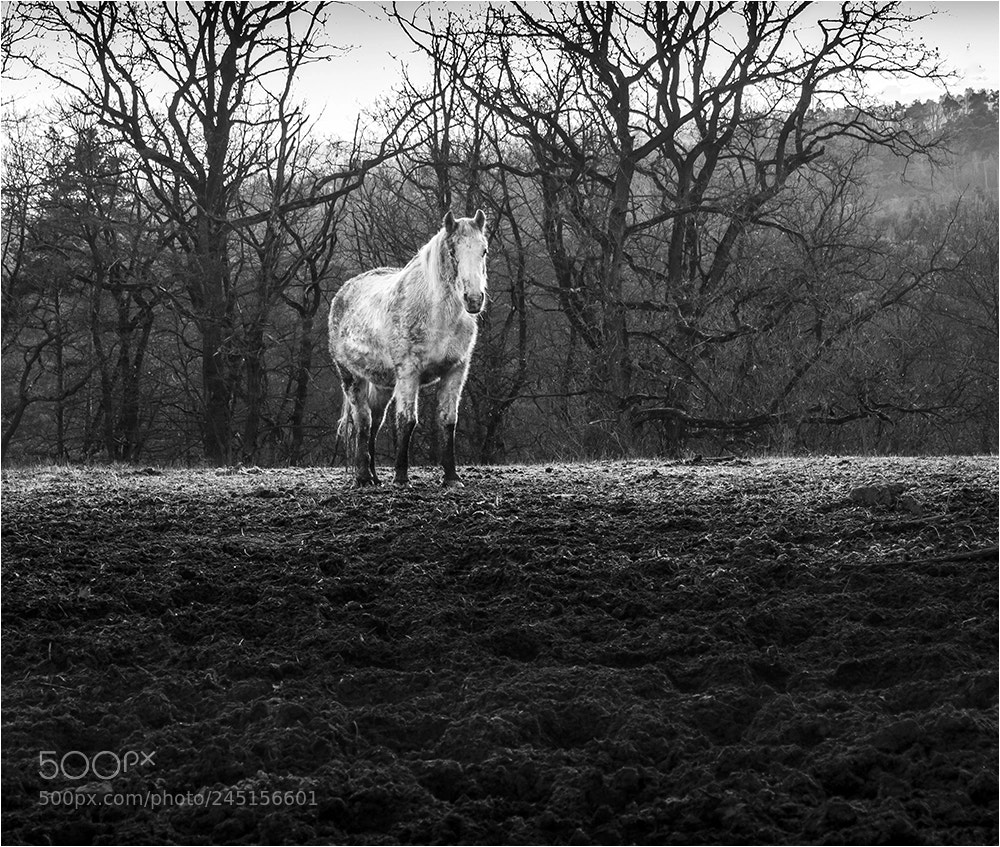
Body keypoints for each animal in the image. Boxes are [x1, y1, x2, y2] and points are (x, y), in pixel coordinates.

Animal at [328, 210, 489, 488]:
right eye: (453, 251)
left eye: (484, 251)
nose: (474, 299)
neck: (436, 315)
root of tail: (343, 293)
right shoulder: (408, 372)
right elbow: (407, 421)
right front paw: (401, 478)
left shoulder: (455, 371)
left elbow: (448, 421)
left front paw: (451, 478)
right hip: (352, 378)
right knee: (362, 422)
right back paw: (363, 477)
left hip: (382, 384)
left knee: (374, 424)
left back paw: (374, 476)